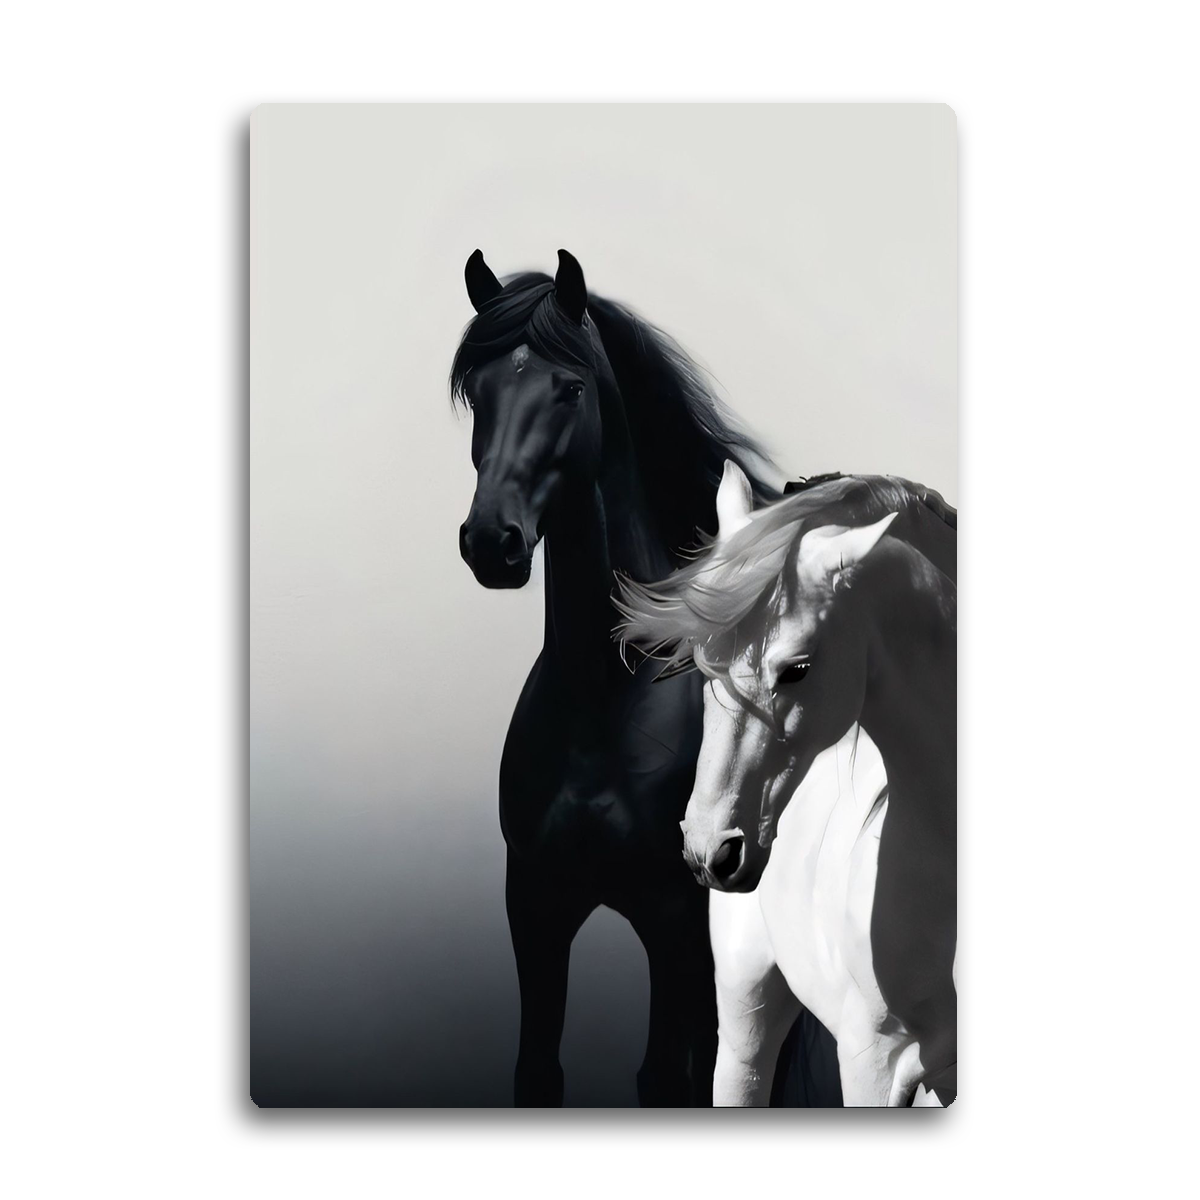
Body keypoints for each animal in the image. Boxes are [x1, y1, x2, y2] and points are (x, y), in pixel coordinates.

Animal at [451, 249, 786, 1106]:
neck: (605, 702)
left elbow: (668, 1074)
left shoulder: (675, 923)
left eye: (569, 389)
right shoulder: (535, 907)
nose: (491, 542)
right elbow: (538, 1069)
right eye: (478, 392)